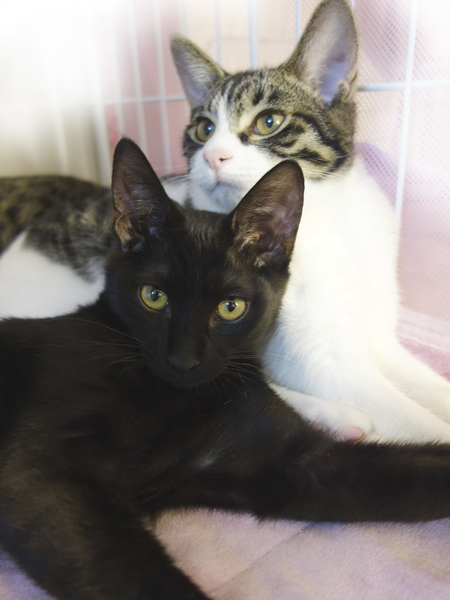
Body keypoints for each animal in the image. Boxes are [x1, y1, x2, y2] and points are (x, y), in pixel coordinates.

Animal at [1, 0, 449, 444]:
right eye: (203, 129)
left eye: (268, 122)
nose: (212, 156)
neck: (333, 219)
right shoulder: (328, 368)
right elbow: (420, 422)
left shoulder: (384, 342)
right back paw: (338, 417)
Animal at [1, 136, 450, 600]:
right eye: (153, 296)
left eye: (230, 307)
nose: (183, 360)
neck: (181, 401)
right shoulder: (42, 470)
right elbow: (131, 573)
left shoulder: (285, 460)